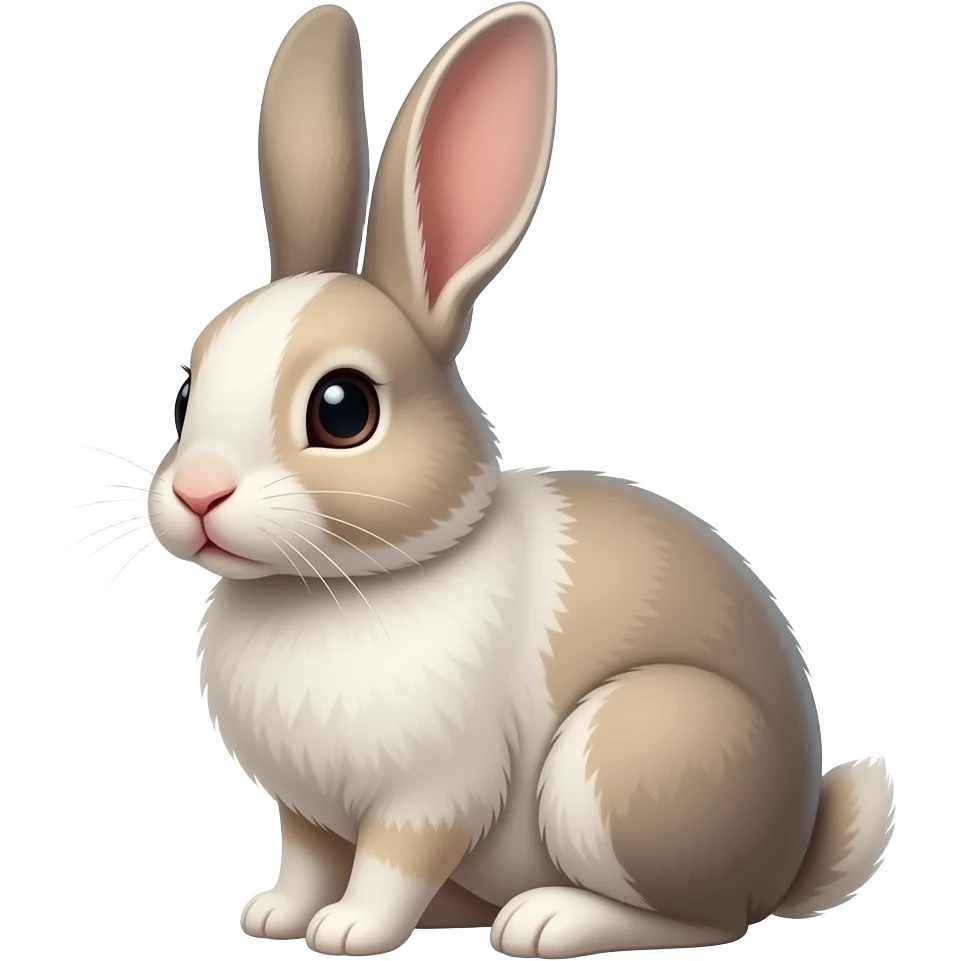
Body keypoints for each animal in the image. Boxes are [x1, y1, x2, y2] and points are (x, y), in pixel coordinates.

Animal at [147, 3, 897, 957]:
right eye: (184, 394)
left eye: (343, 408)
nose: (198, 495)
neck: (332, 587)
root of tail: (790, 854)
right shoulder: (305, 808)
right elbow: (309, 857)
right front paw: (274, 915)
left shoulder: (432, 793)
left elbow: (390, 865)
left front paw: (349, 930)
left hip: (626, 754)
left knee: (699, 919)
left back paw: (545, 919)